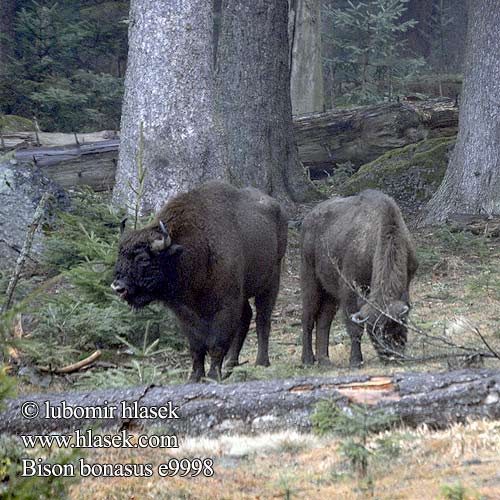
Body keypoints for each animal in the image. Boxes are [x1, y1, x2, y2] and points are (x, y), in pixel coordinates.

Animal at [111, 182, 288, 380]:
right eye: (120, 255)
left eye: (143, 259)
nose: (118, 287)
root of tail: (279, 208)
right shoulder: (185, 312)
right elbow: (196, 346)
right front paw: (195, 377)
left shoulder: (225, 306)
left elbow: (216, 343)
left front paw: (212, 375)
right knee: (246, 318)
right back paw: (230, 364)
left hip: (270, 281)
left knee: (262, 319)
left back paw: (261, 362)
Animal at [300, 190, 418, 368]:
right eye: (373, 331)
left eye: (397, 324)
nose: (391, 356)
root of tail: (308, 219)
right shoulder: (349, 289)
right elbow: (354, 328)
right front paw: (355, 360)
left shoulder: (406, 282)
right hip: (310, 281)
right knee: (307, 319)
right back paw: (307, 359)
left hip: (330, 295)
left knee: (323, 322)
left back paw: (325, 360)